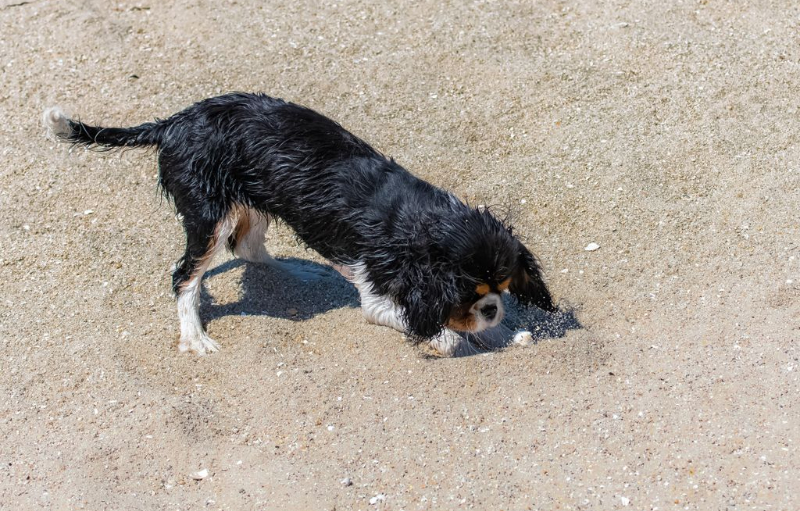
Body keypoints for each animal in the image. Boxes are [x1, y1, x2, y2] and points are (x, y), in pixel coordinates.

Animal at [45, 93, 556, 356]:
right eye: (468, 293)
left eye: (503, 288)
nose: (491, 309)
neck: (418, 223)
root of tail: (173, 122)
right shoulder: (378, 293)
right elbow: (435, 332)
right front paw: (456, 335)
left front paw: (503, 330)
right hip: (210, 214)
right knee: (184, 275)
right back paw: (195, 336)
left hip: (252, 201)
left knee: (247, 247)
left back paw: (304, 272)